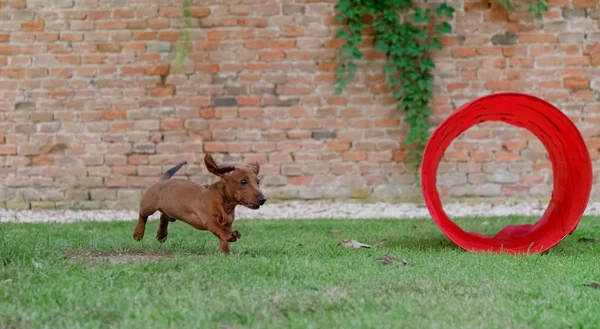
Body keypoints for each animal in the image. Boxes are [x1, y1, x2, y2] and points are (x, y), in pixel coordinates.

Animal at [132, 154, 266, 254]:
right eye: (243, 181)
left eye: (257, 181)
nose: (263, 199)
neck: (224, 203)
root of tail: (162, 180)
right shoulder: (210, 220)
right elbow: (222, 231)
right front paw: (231, 236)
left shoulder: (228, 224)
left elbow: (223, 239)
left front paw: (226, 254)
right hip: (148, 206)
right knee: (142, 216)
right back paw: (138, 233)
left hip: (172, 212)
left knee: (163, 217)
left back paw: (162, 235)